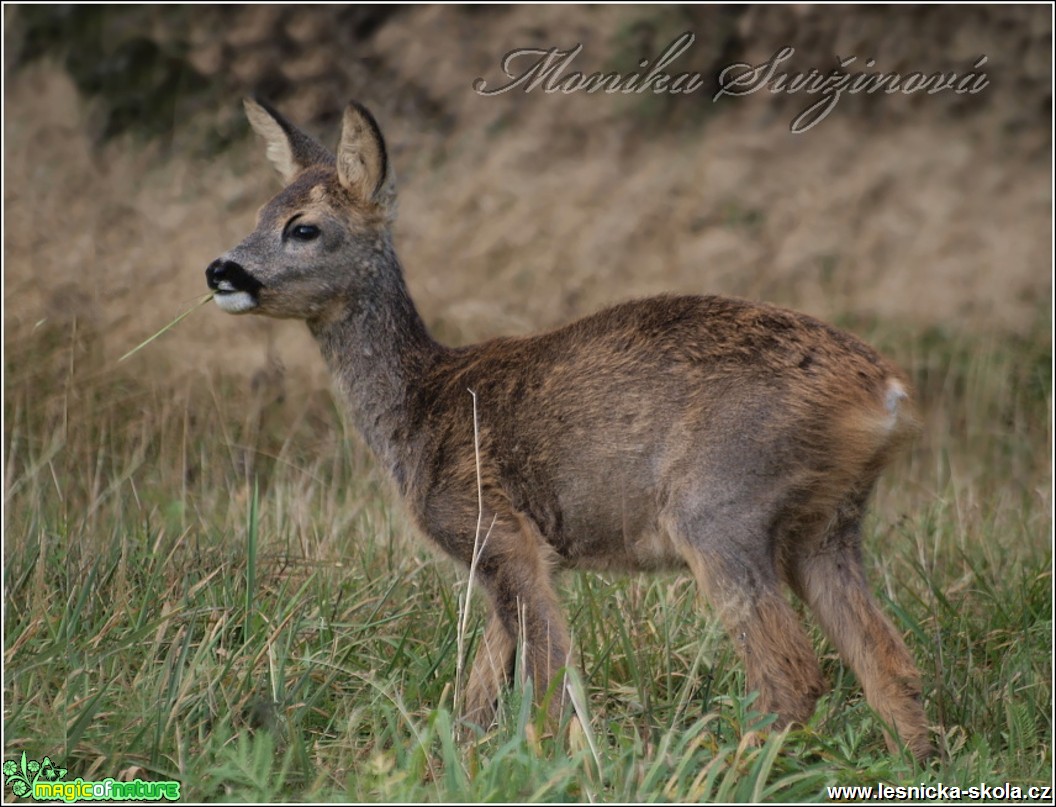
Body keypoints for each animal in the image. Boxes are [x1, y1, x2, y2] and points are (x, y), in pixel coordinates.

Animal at [203, 97, 933, 760]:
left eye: (304, 228)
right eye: (261, 213)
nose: (220, 270)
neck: (420, 402)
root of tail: (886, 393)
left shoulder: (492, 526)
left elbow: (548, 678)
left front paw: (557, 764)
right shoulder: (517, 555)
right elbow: (480, 690)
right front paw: (459, 762)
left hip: (721, 505)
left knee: (790, 674)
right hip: (828, 523)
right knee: (889, 661)